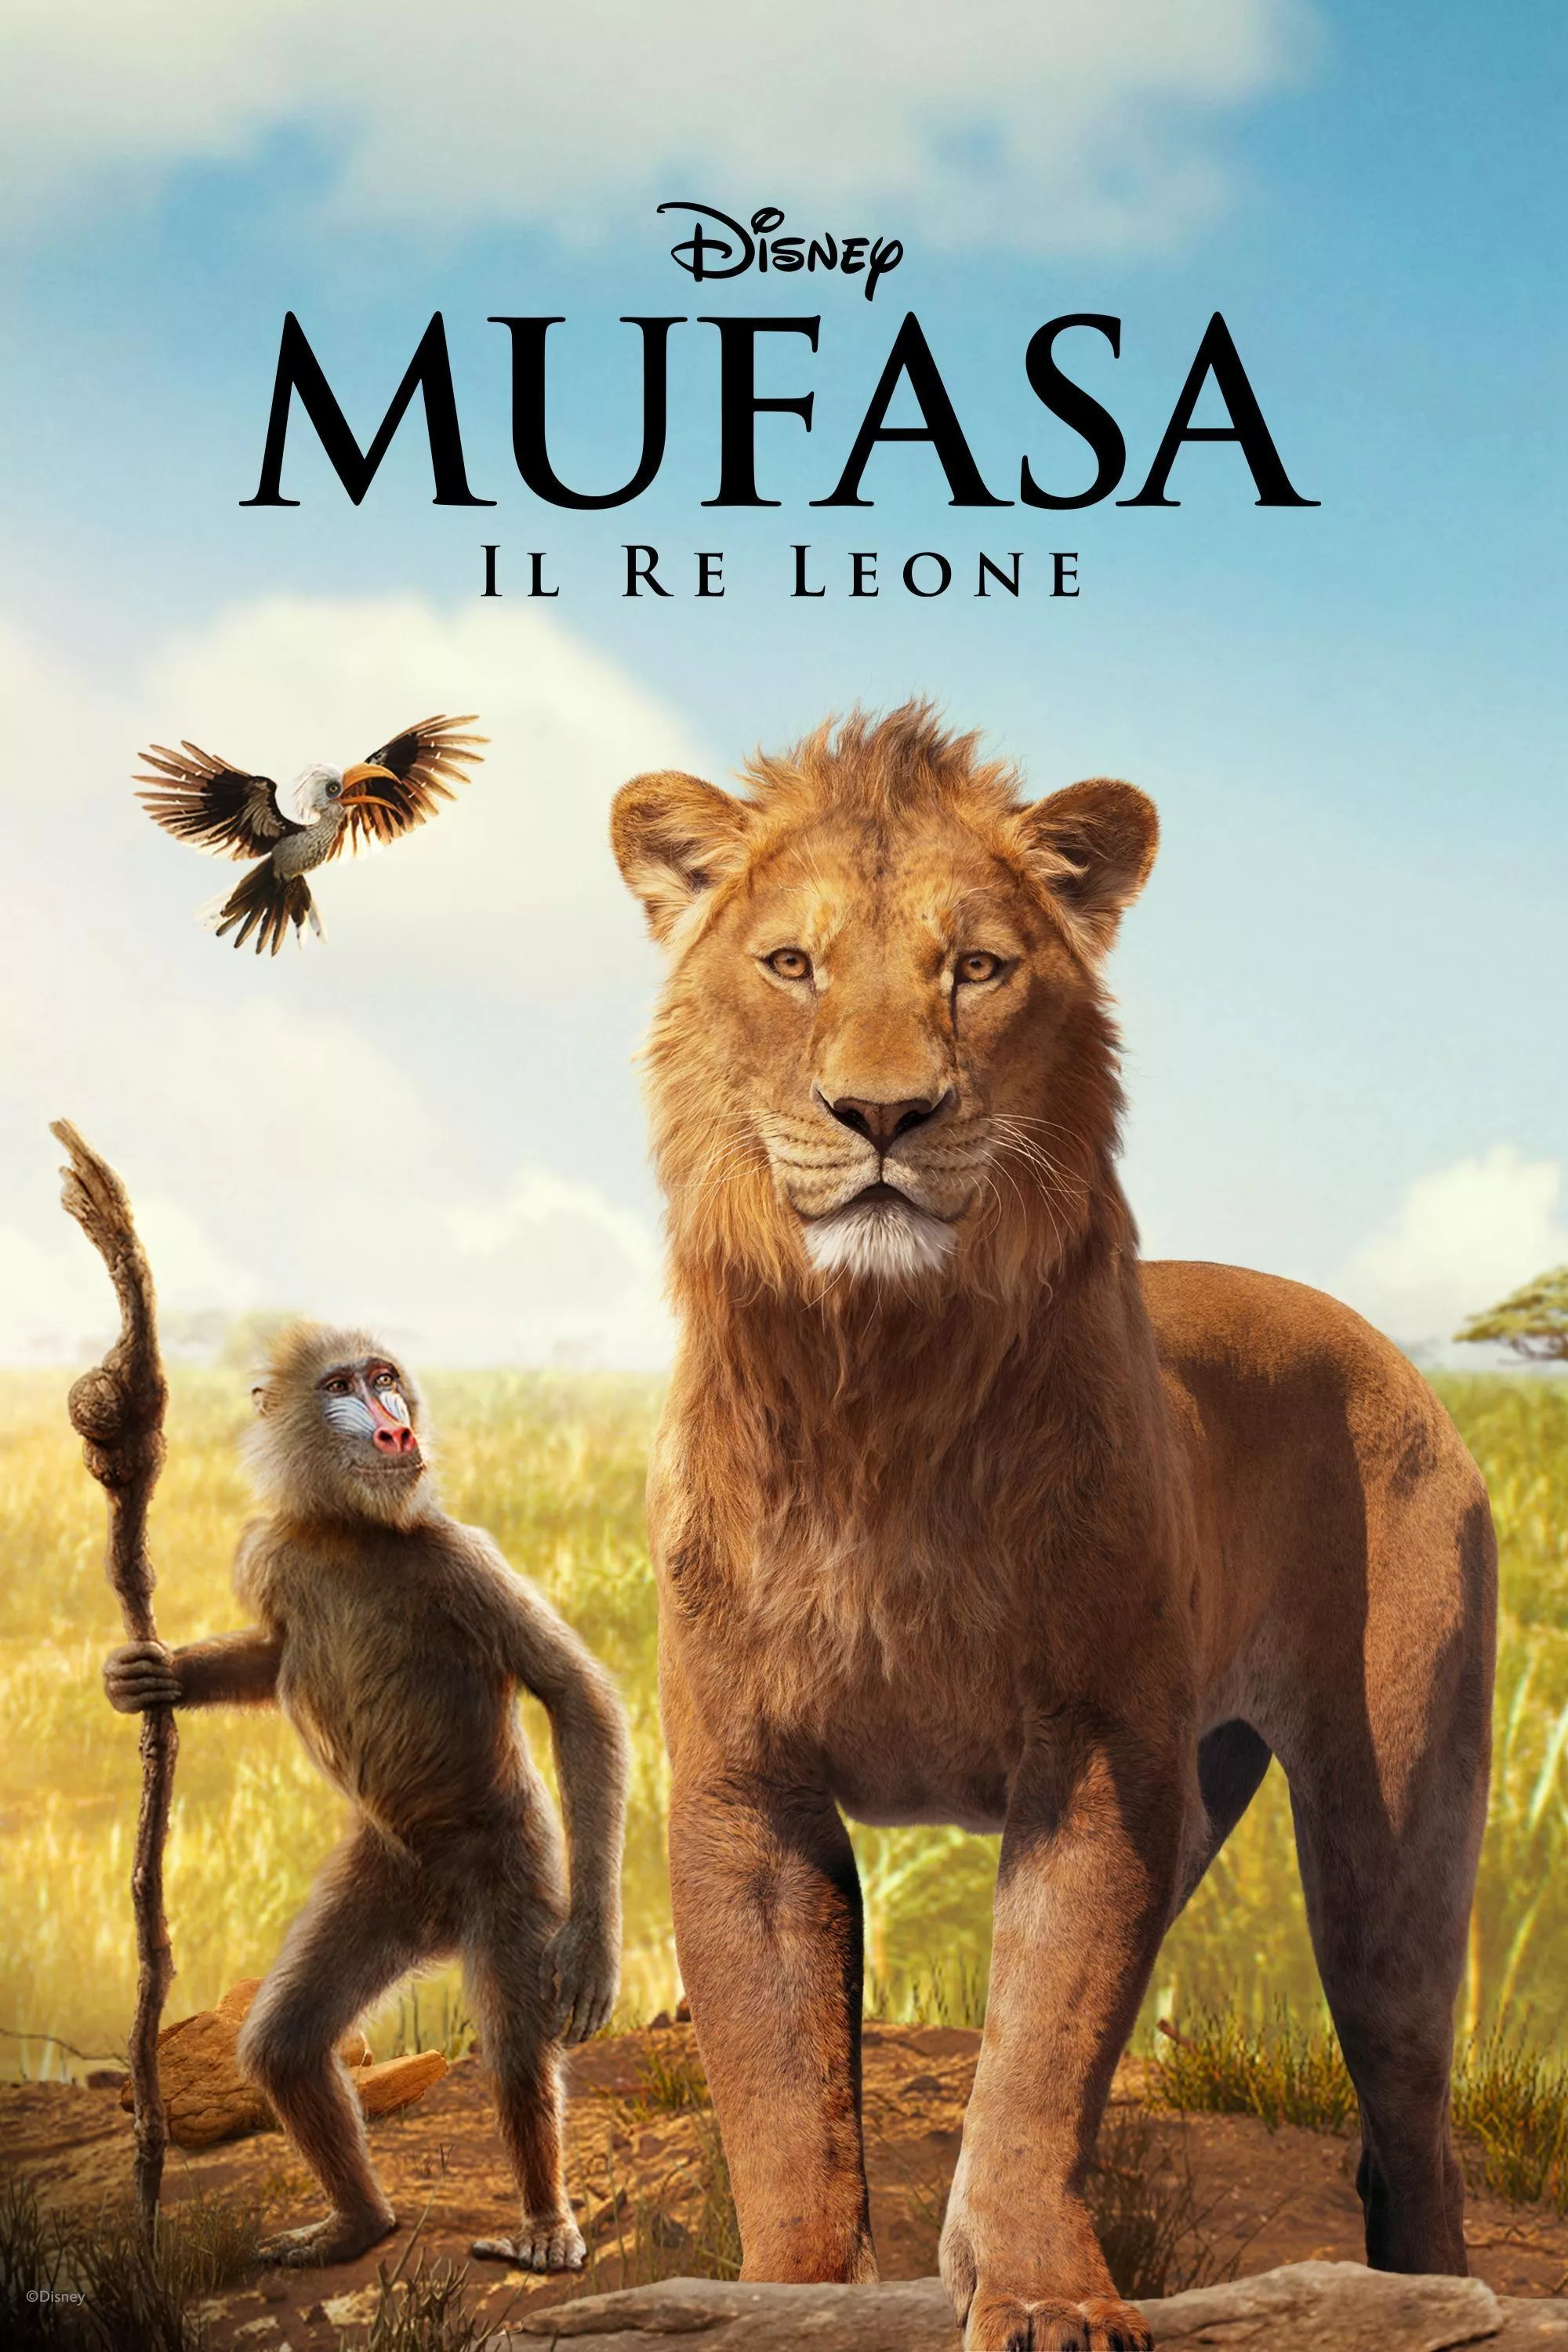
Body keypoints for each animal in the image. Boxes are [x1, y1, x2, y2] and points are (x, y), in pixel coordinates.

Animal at [610, 706, 1495, 2352]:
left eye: (976, 968)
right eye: (791, 964)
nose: (884, 1114)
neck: (879, 1388)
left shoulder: (1089, 1763)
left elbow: (1035, 2055)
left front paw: (1039, 2293)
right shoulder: (745, 1790)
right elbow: (786, 2104)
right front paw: (786, 2296)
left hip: (1393, 1835)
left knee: (1409, 2116)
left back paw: (1426, 2290)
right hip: (1197, 1787)